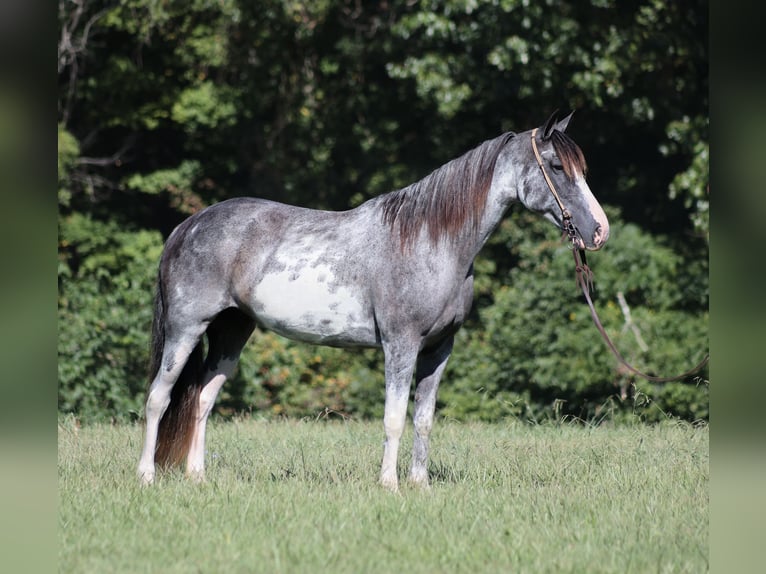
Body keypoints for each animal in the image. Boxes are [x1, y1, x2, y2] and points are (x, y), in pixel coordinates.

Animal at [137, 111, 610, 490]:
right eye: (556, 166)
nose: (599, 231)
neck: (429, 241)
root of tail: (189, 225)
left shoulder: (439, 348)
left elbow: (423, 418)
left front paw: (419, 485)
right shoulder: (400, 345)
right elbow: (394, 417)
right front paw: (390, 485)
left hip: (232, 331)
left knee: (202, 398)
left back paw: (197, 476)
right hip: (186, 330)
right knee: (159, 396)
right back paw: (146, 476)